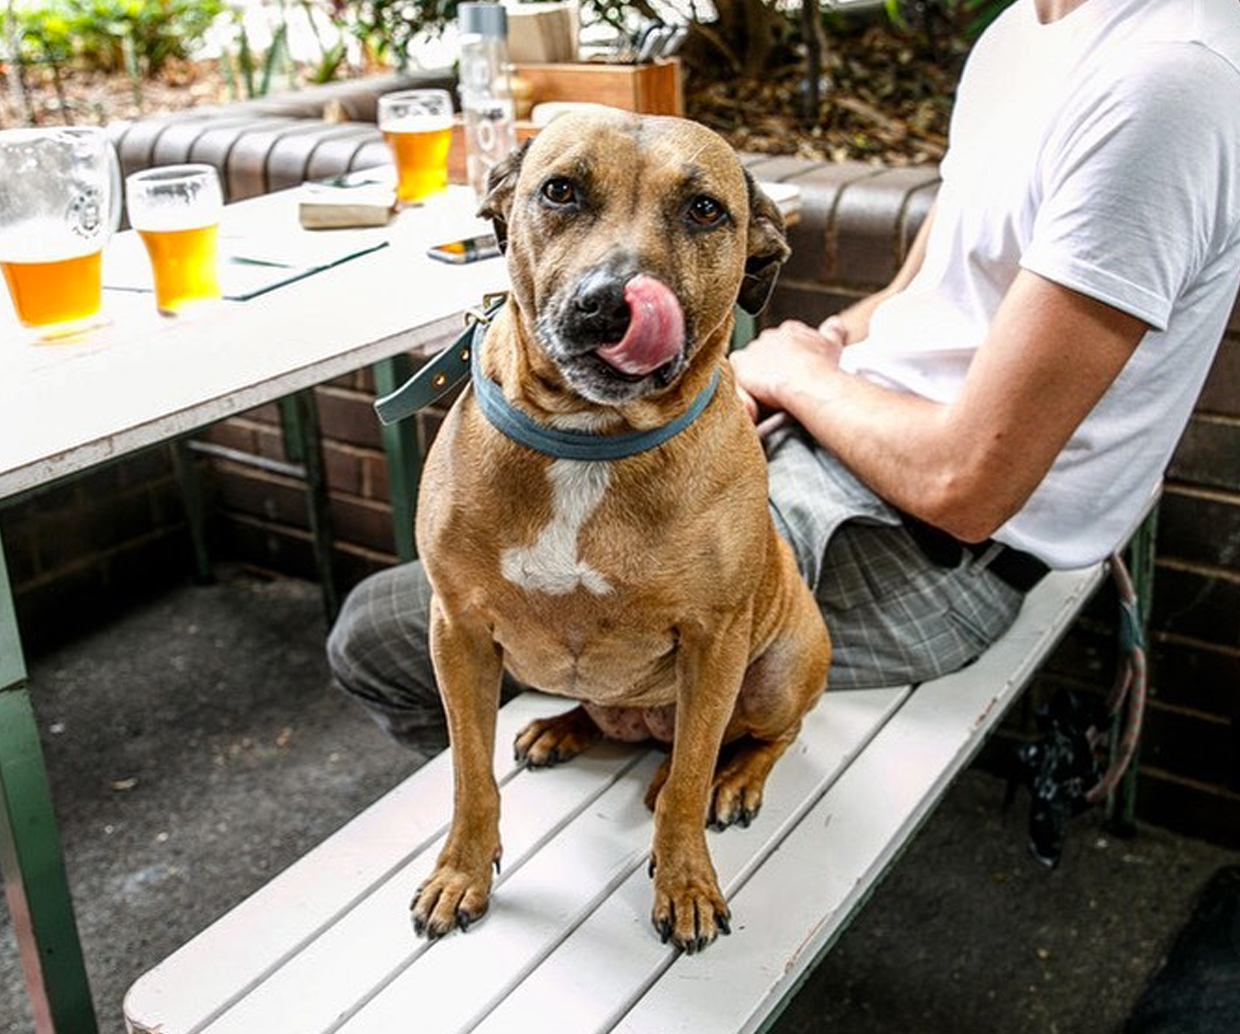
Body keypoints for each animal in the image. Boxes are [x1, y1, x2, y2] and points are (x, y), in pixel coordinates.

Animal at [414, 106, 833, 952]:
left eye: (704, 209)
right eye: (560, 191)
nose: (609, 303)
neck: (589, 437)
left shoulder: (713, 641)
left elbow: (687, 790)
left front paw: (687, 882)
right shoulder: (458, 631)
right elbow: (471, 775)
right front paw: (461, 872)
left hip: (776, 670)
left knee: (752, 740)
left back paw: (733, 779)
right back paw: (563, 728)